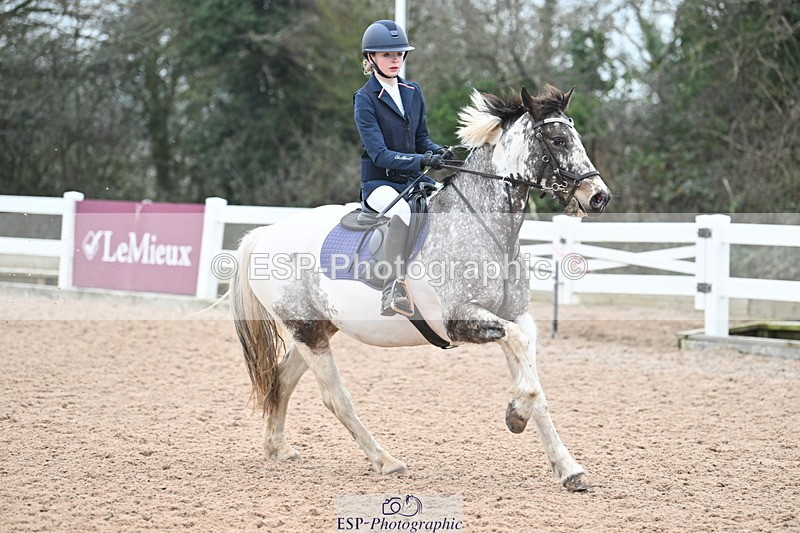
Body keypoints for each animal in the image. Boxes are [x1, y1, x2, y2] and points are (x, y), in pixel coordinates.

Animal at [230, 84, 611, 491]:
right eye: (558, 139)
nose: (599, 196)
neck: (488, 231)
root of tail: (265, 232)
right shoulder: (461, 320)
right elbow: (527, 374)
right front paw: (515, 415)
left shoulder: (517, 317)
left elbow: (535, 382)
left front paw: (568, 467)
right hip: (305, 329)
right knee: (335, 397)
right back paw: (385, 461)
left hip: (320, 327)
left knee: (282, 378)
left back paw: (277, 448)